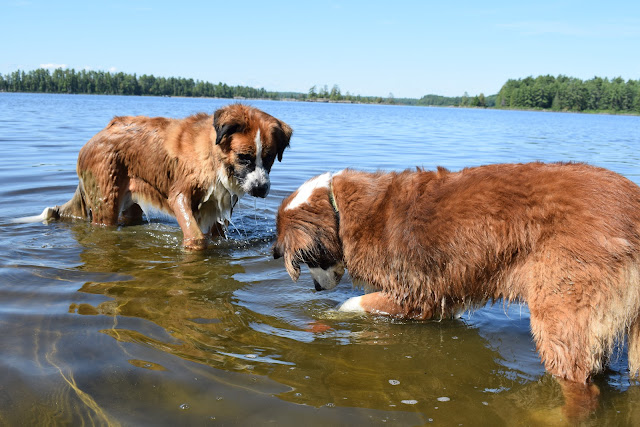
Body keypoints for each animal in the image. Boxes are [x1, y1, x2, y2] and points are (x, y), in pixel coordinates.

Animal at [26, 104, 292, 251]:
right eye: (244, 157)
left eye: (269, 158)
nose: (260, 188)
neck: (215, 157)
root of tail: (98, 134)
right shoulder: (181, 196)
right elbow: (195, 235)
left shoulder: (219, 206)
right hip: (106, 202)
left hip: (130, 200)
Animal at [272, 163, 640, 414]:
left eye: (306, 259)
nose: (316, 290)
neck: (340, 211)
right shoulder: (442, 297)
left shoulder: (412, 295)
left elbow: (351, 305)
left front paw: (329, 317)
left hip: (561, 308)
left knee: (579, 385)